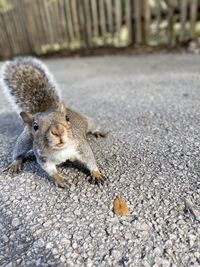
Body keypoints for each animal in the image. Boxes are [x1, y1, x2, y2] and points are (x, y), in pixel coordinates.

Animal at [0, 57, 108, 189]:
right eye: (35, 126)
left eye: (67, 118)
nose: (58, 131)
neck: (60, 151)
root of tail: (48, 107)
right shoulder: (43, 157)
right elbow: (50, 170)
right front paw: (60, 179)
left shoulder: (81, 146)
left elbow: (90, 159)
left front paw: (96, 173)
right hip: (25, 138)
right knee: (19, 150)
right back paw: (15, 163)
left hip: (87, 121)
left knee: (93, 125)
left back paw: (98, 131)